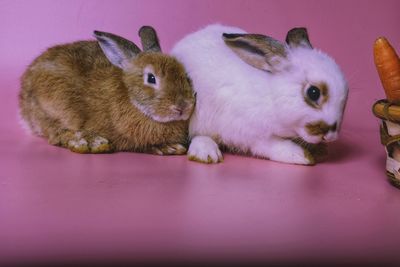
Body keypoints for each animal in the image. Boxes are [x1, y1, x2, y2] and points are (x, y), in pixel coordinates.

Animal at [18, 26, 196, 156]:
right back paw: (89, 142)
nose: (183, 107)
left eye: (185, 75)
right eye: (151, 78)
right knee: (56, 134)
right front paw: (169, 148)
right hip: (55, 108)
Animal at [171, 24, 346, 164]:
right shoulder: (250, 134)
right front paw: (301, 156)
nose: (331, 136)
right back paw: (207, 153)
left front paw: (320, 151)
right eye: (313, 92)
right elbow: (273, 146)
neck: (272, 96)